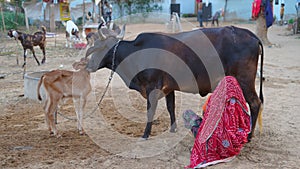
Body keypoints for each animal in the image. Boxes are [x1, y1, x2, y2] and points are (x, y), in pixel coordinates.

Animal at [85, 25, 264, 140]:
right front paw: (173, 128)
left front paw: (145, 134)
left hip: (245, 81)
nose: (88, 64)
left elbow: (150, 112)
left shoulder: (152, 88)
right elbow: (171, 107)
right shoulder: (169, 88)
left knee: (255, 104)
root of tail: (250, 34)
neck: (136, 53)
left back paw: (249, 135)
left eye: (98, 46)